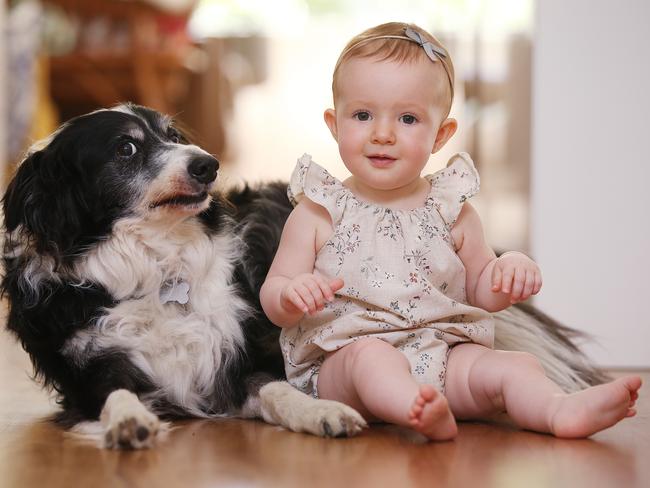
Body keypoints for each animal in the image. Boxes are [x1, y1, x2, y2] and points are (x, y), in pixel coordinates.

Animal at [2, 104, 604, 450]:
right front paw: (130, 423)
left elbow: (275, 389)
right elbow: (116, 395)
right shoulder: (87, 374)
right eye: (126, 148)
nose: (208, 163)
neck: (156, 267)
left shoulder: (244, 355)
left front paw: (321, 411)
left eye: (172, 134)